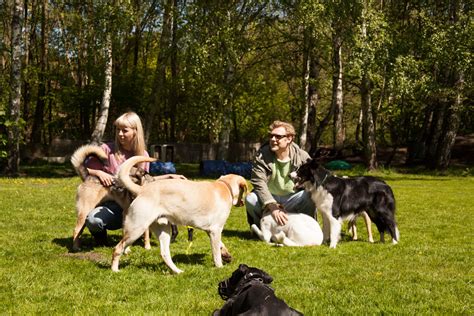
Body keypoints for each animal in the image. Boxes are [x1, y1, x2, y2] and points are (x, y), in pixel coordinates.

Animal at [111, 156, 248, 274]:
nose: (242, 203)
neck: (225, 186)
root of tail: (142, 189)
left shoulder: (211, 230)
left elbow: (220, 244)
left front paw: (226, 255)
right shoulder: (216, 229)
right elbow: (216, 252)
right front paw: (220, 267)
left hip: (163, 230)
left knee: (164, 253)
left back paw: (177, 271)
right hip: (136, 229)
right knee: (118, 248)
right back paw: (115, 270)